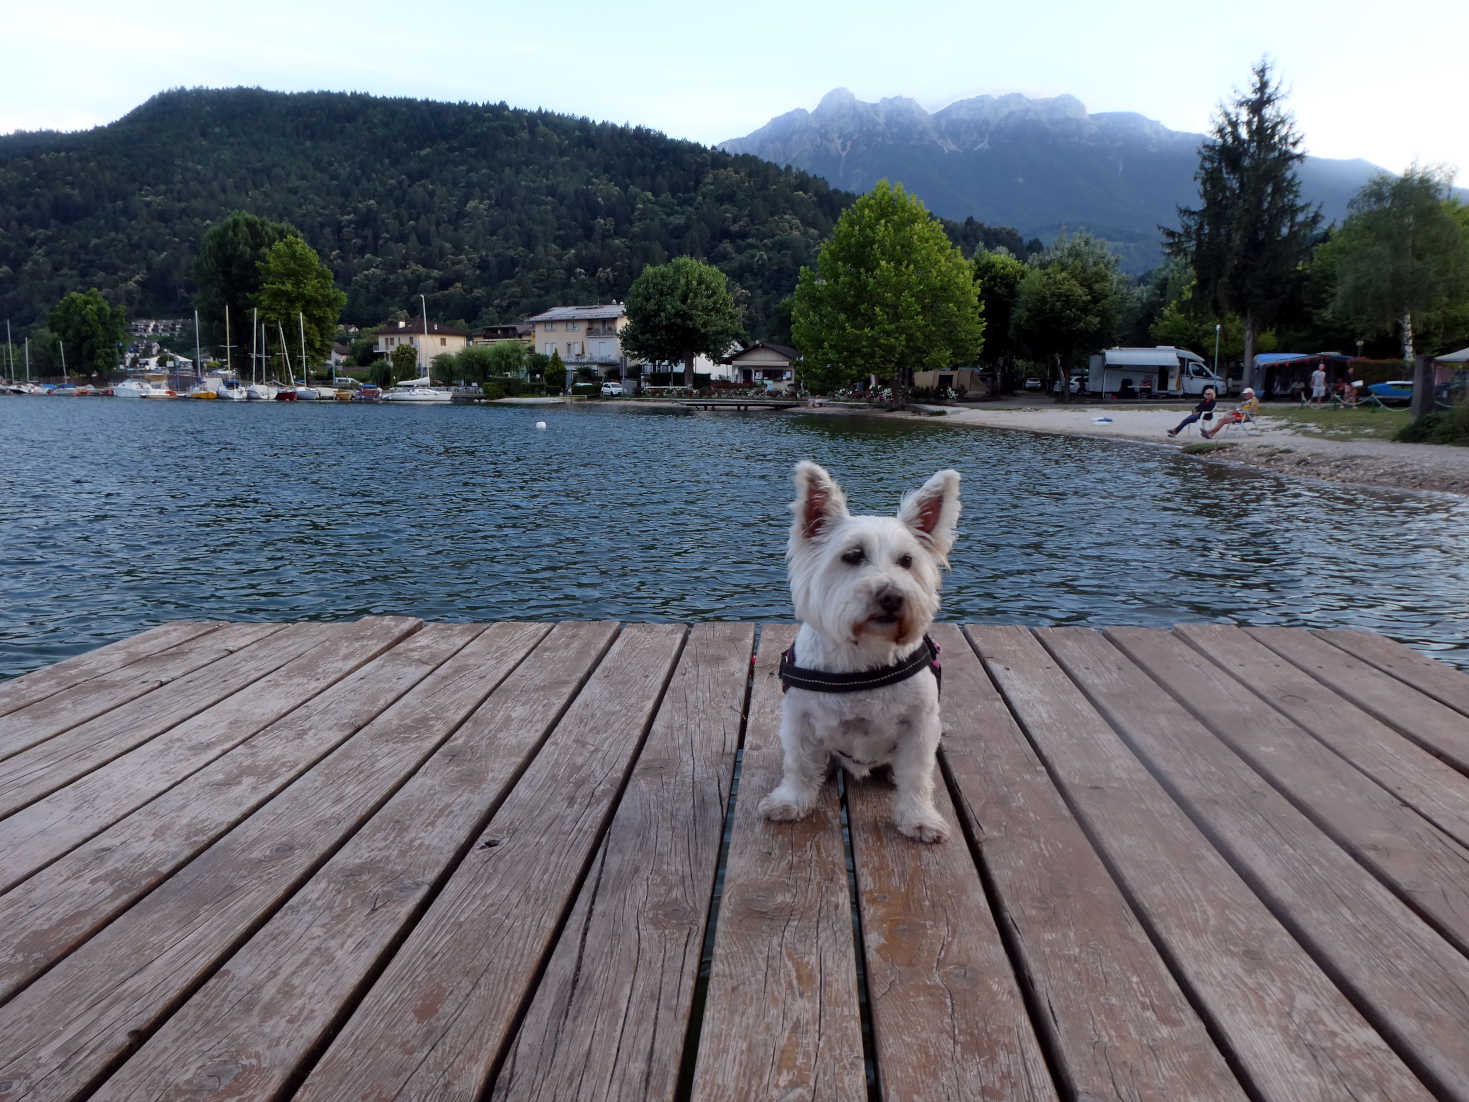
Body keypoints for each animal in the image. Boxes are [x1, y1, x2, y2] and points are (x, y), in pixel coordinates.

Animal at [758, 461, 963, 840]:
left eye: (907, 560)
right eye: (852, 556)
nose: (892, 597)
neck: (864, 653)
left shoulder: (919, 726)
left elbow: (917, 776)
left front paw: (920, 818)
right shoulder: (799, 719)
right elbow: (799, 764)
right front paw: (789, 802)